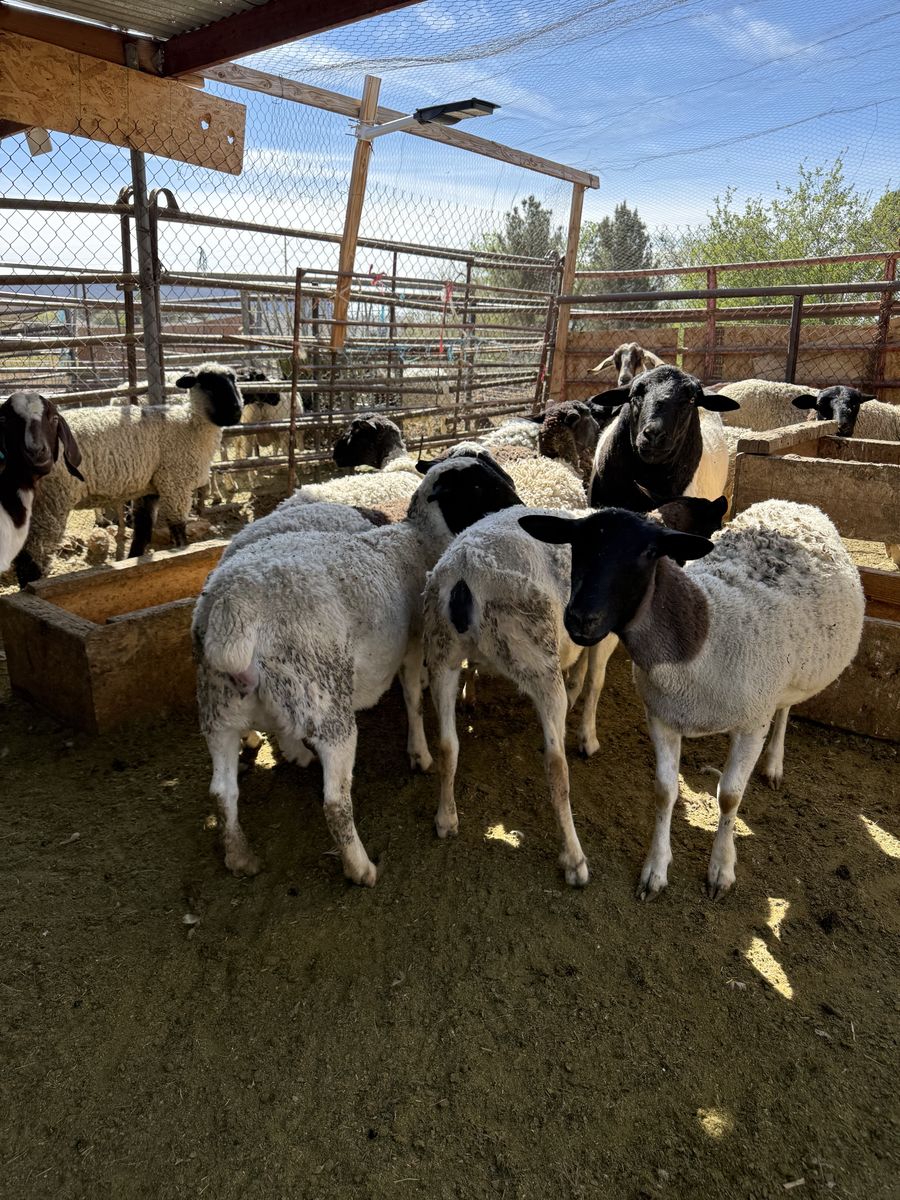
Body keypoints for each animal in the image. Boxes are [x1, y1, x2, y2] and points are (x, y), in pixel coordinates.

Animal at [14, 363, 242, 586]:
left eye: (233, 379)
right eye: (208, 383)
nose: (237, 412)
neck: (190, 425)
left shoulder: (150, 487)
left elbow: (143, 531)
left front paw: (133, 561)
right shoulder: (175, 483)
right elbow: (178, 531)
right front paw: (183, 554)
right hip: (51, 500)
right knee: (32, 555)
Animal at [193, 455, 524, 883]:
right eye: (480, 487)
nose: (520, 511)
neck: (417, 542)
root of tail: (233, 617)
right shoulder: (413, 646)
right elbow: (413, 700)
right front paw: (419, 754)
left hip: (220, 710)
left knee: (222, 792)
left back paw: (239, 857)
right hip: (325, 703)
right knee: (335, 801)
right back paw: (360, 867)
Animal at [521, 499, 865, 900]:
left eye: (649, 552)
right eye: (577, 544)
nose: (580, 619)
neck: (701, 636)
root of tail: (792, 503)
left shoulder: (752, 722)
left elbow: (730, 796)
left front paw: (720, 870)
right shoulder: (662, 716)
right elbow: (664, 791)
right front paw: (655, 870)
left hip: (793, 676)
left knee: (785, 710)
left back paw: (774, 763)